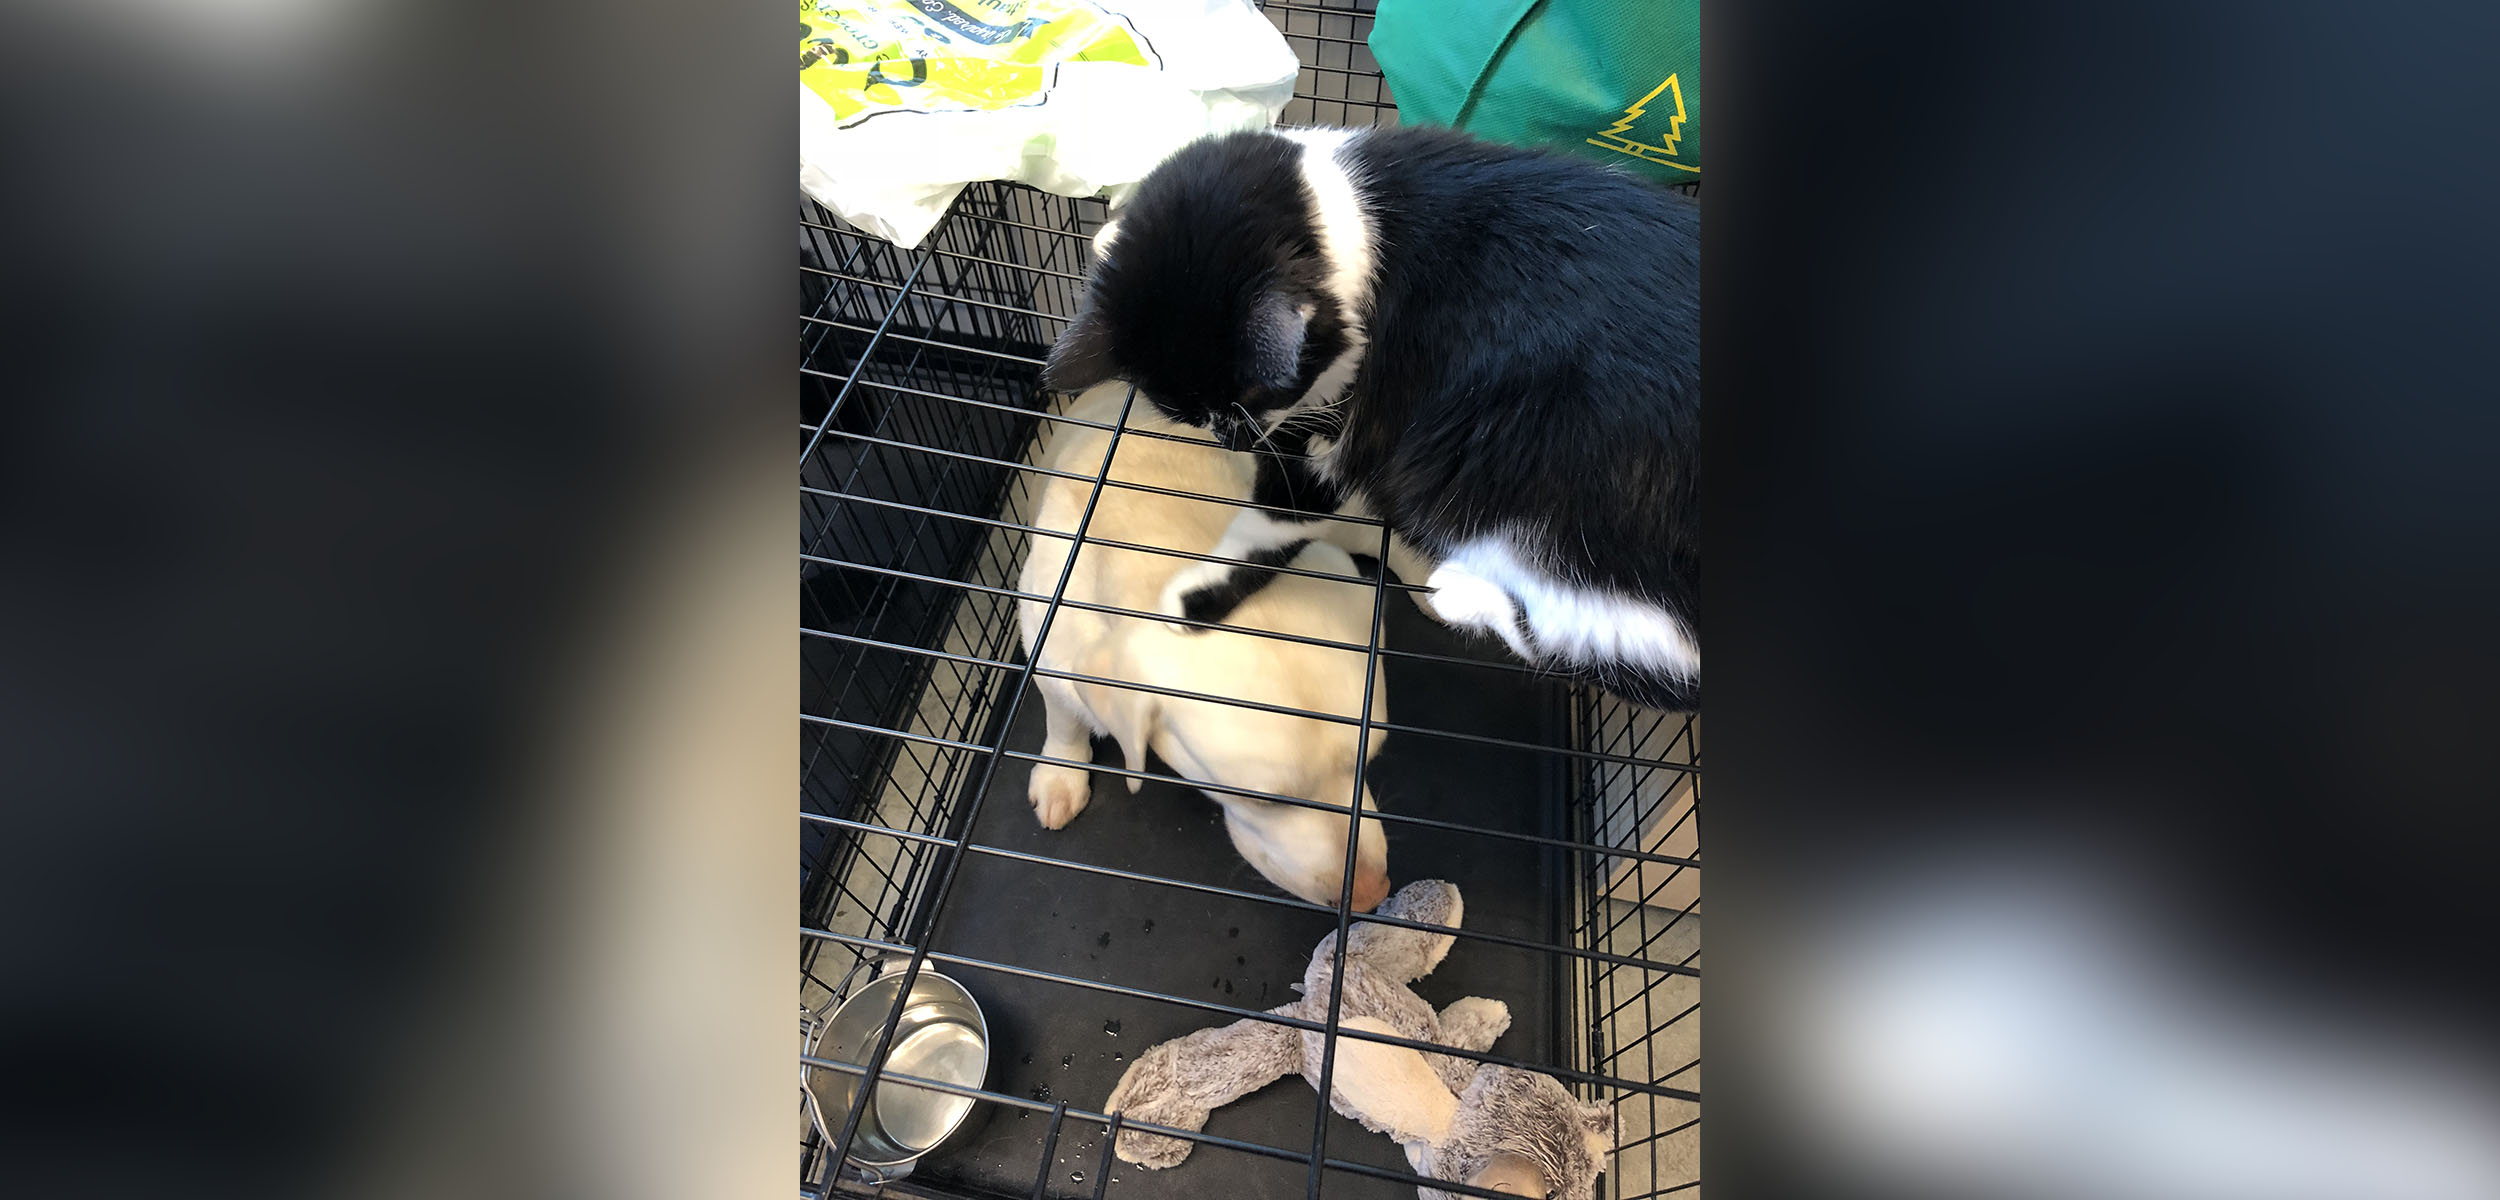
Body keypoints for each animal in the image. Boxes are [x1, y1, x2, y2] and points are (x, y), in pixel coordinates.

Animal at [1035, 128, 1700, 710]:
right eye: (1192, 417)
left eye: (1249, 401)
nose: (1234, 441)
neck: (1358, 211)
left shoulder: (1344, 430)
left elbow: (1275, 518)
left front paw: (1196, 597)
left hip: (1540, 508)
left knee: (1635, 661)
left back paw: (1456, 590)